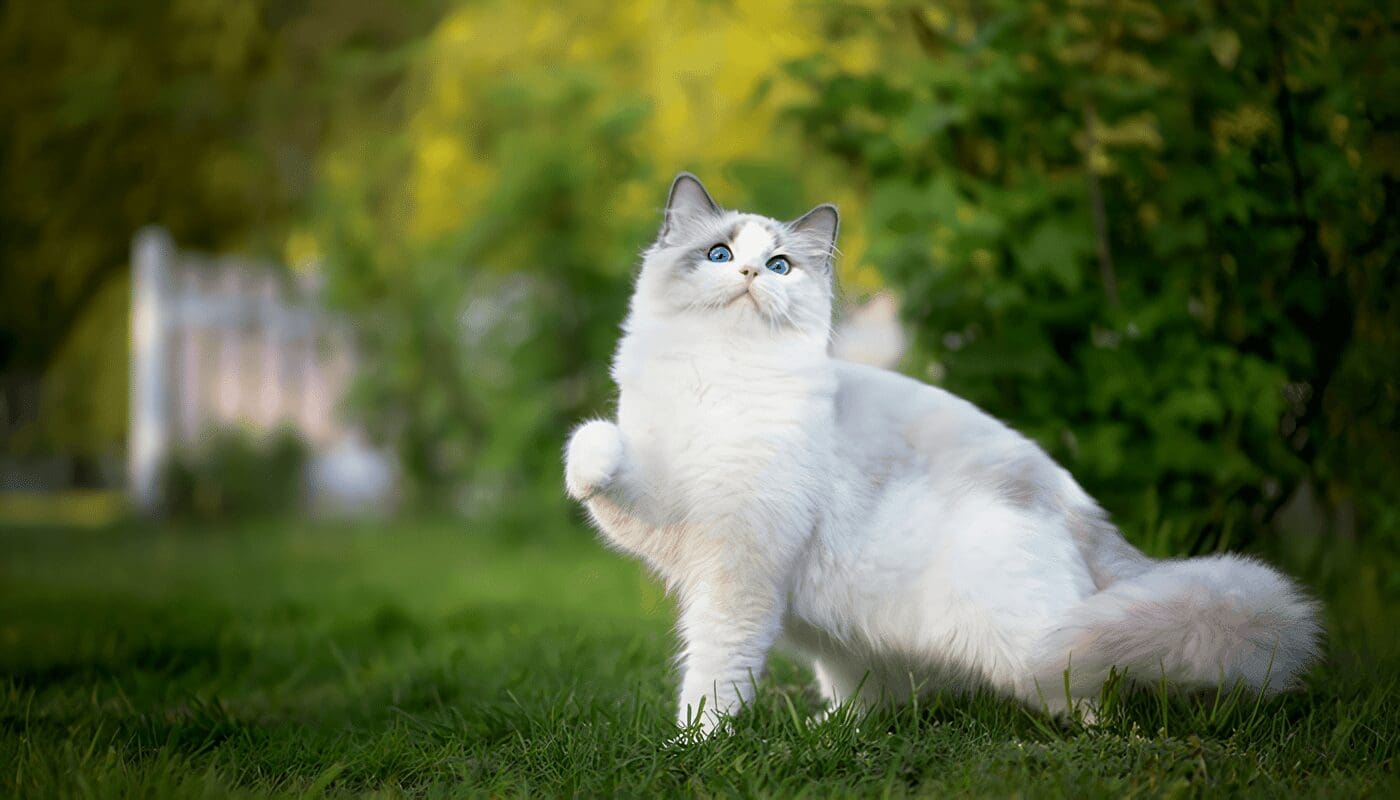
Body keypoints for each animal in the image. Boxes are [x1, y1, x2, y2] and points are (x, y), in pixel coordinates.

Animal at [560, 172, 1321, 734]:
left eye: (778, 265)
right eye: (720, 255)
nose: (749, 272)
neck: (721, 378)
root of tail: (1081, 511)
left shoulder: (738, 570)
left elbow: (714, 673)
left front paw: (695, 746)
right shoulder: (664, 512)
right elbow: (598, 448)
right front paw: (585, 467)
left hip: (1030, 644)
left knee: (1091, 686)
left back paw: (1104, 741)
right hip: (841, 636)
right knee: (870, 698)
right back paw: (830, 735)